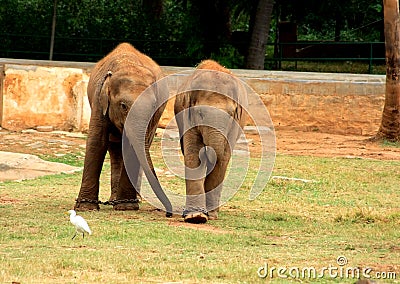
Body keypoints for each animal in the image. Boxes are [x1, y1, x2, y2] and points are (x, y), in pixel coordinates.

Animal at [75, 42, 172, 215]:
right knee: (114, 148)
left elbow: (132, 148)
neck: (128, 64)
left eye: (153, 106)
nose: (168, 212)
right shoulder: (99, 102)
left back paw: (131, 200)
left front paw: (126, 207)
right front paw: (86, 208)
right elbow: (96, 142)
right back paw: (114, 200)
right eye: (123, 106)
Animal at [174, 60, 247, 224]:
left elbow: (224, 157)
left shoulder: (234, 125)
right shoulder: (187, 116)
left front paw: (210, 215)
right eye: (200, 113)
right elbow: (193, 153)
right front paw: (196, 217)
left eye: (231, 114)